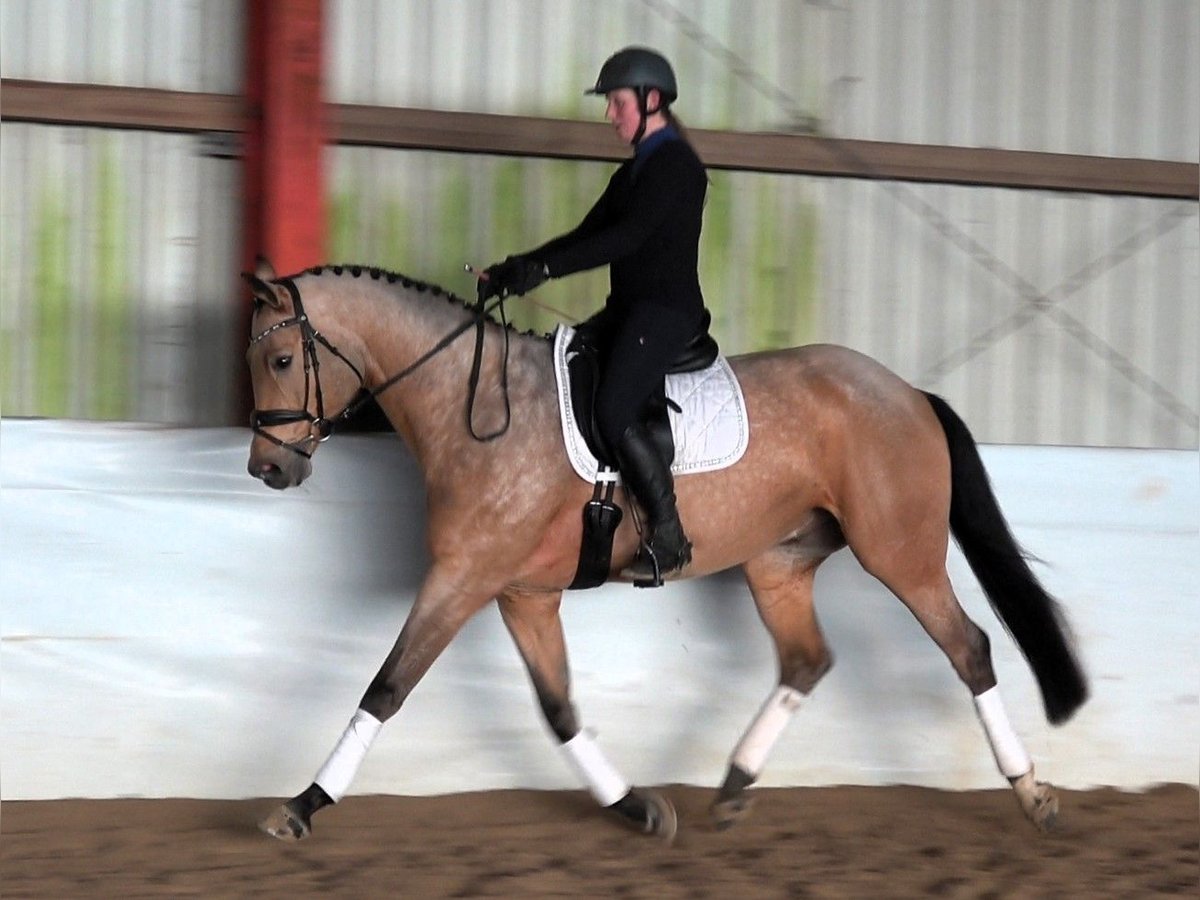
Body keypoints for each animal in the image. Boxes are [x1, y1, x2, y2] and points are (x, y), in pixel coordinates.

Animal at [243, 256, 1089, 844]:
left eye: (281, 362)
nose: (268, 470)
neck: (472, 406)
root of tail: (909, 392)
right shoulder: (522, 593)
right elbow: (559, 708)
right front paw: (637, 807)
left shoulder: (462, 578)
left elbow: (387, 687)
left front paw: (301, 807)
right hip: (779, 562)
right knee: (807, 660)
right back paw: (734, 785)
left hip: (899, 552)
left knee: (968, 647)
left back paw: (1034, 795)